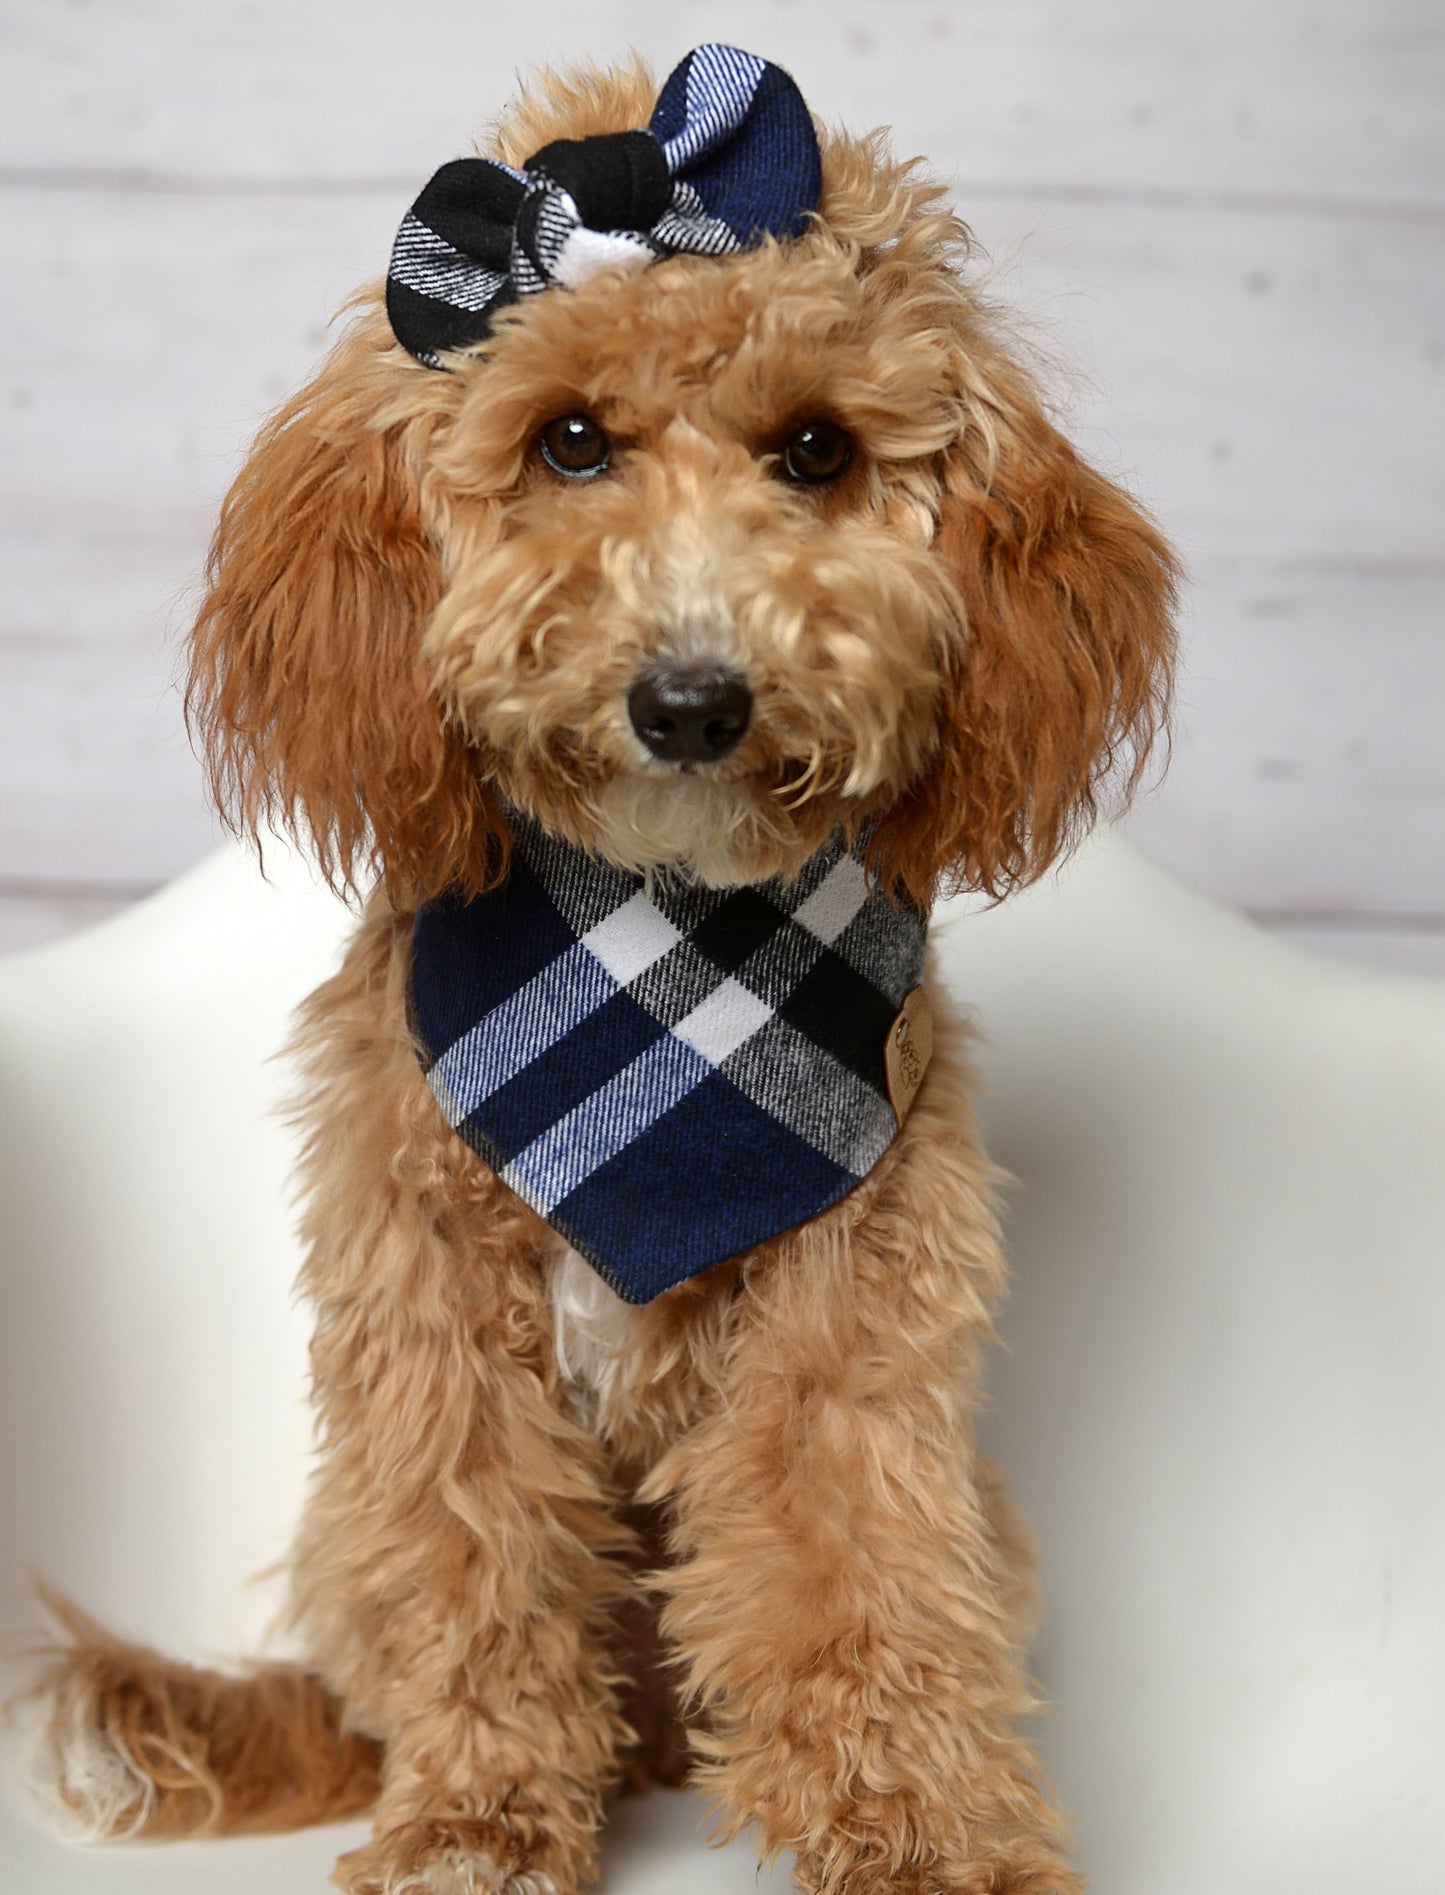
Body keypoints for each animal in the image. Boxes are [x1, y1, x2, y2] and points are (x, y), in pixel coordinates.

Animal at [25, 40, 1174, 1895]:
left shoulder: (854, 1322)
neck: (666, 967)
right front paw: (477, 1822)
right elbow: (479, 1567)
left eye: (813, 450)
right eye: (570, 441)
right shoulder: (433, 1316)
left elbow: (858, 1574)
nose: (691, 698)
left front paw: (928, 1837)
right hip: (348, 1541)